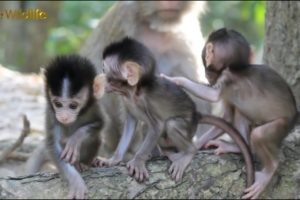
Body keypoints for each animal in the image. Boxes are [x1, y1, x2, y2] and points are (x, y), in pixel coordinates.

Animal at [44, 54, 105, 198]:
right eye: (58, 104)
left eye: (73, 106)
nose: (64, 117)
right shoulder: (51, 113)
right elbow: (53, 144)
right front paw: (76, 181)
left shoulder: (94, 106)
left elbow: (99, 124)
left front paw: (75, 139)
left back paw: (87, 163)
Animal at [162, 27, 298, 198]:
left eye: (207, 69)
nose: (208, 76)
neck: (236, 68)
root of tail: (295, 117)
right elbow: (226, 120)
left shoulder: (226, 78)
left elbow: (212, 95)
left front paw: (175, 80)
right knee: (241, 115)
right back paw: (237, 148)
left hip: (282, 124)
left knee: (260, 135)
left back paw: (269, 170)